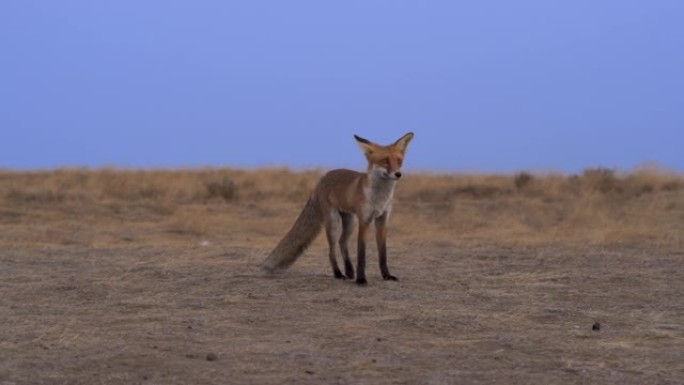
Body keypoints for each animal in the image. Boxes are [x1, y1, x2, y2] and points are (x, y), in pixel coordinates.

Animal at [262, 132, 414, 284]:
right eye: (385, 160)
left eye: (399, 161)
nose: (398, 174)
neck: (379, 198)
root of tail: (322, 178)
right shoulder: (364, 221)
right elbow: (361, 254)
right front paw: (361, 279)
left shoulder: (382, 220)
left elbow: (383, 254)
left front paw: (387, 275)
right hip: (333, 222)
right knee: (331, 250)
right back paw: (338, 273)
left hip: (350, 222)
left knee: (342, 242)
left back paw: (349, 271)